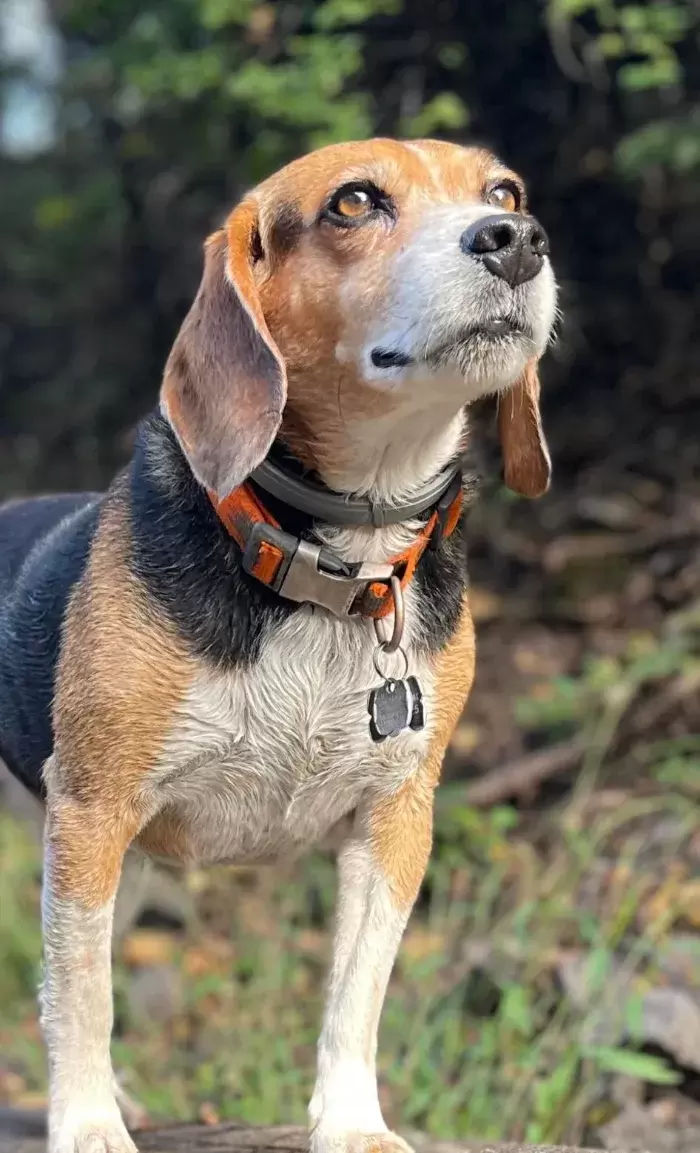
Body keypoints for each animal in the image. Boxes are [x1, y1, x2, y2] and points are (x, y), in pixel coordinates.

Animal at [0, 137, 558, 1153]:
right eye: (355, 202)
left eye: (504, 191)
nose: (517, 239)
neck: (336, 567)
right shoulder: (92, 812)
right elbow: (83, 996)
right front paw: (89, 1124)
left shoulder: (394, 820)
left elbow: (356, 996)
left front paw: (353, 1122)